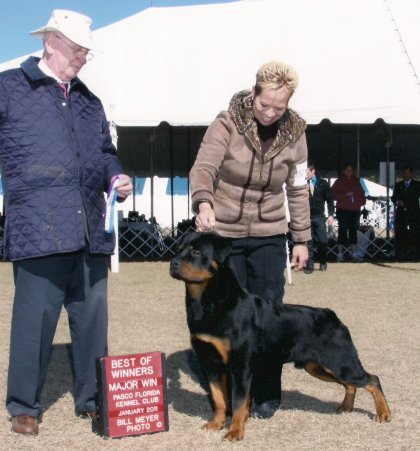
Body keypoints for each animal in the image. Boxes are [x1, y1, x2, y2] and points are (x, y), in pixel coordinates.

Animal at [170, 232, 391, 441]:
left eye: (196, 252)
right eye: (178, 250)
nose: (173, 263)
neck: (209, 301)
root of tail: (333, 316)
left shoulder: (240, 365)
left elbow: (239, 402)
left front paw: (235, 432)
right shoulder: (210, 363)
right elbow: (219, 399)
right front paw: (216, 424)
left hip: (340, 361)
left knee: (371, 380)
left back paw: (384, 413)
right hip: (320, 367)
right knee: (351, 384)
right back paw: (346, 407)